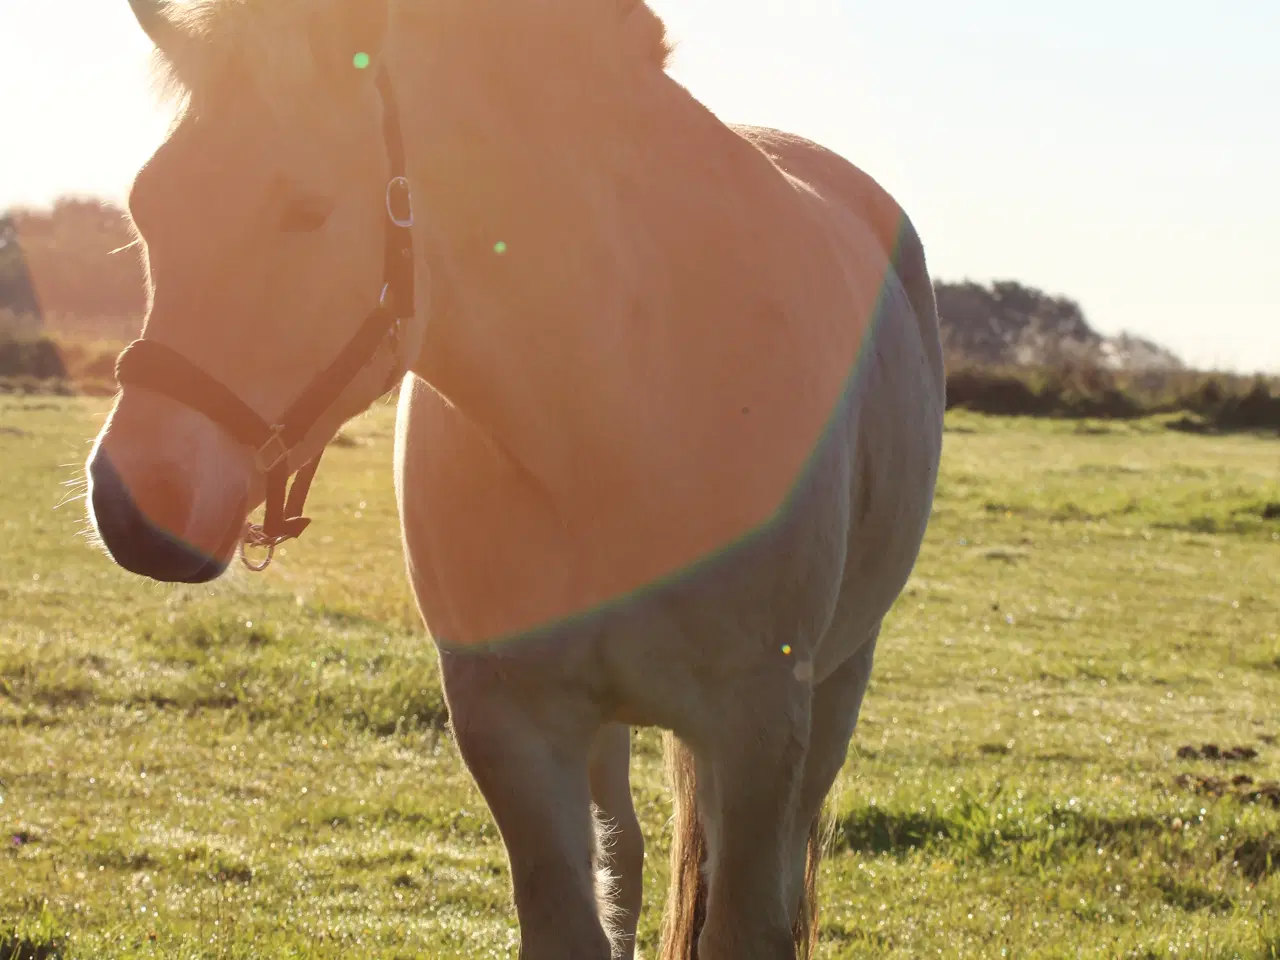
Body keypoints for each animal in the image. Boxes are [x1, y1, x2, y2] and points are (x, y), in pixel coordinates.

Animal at [85, 3, 947, 957]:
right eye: (146, 206)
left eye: (305, 209)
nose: (130, 505)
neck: (620, 401)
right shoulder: (513, 726)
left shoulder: (758, 729)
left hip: (835, 689)